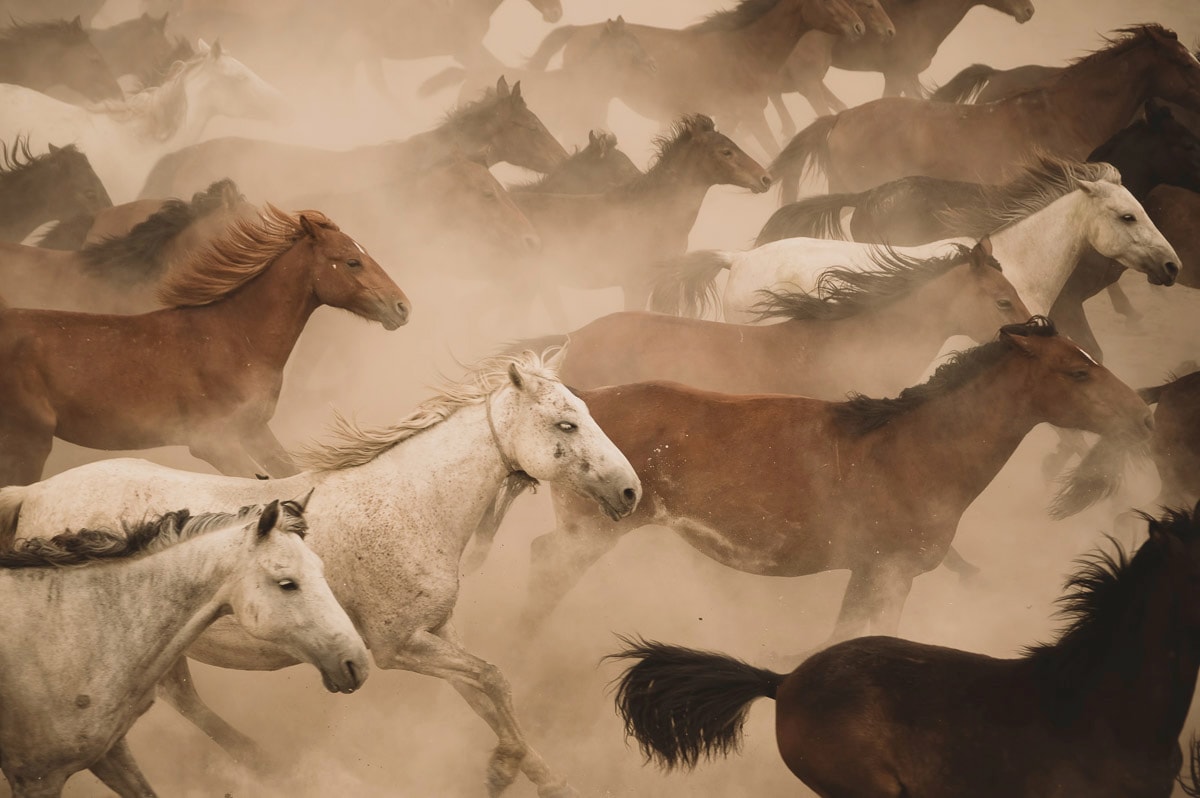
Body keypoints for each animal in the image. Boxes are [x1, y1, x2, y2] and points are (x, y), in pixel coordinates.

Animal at [0, 206, 410, 487]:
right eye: (352, 261)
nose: (402, 307)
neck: (235, 338)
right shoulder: (213, 442)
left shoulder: (255, 430)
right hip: (28, 443)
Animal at [518, 318, 1153, 647]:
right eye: (1077, 371)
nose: (1143, 415)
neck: (917, 450)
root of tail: (585, 399)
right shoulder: (887, 571)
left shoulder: (875, 575)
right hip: (589, 536)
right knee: (544, 573)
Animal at [525, 0, 873, 156]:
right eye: (828, 0)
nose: (859, 27)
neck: (744, 49)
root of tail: (576, 31)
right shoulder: (751, 114)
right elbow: (773, 149)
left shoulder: (733, 115)